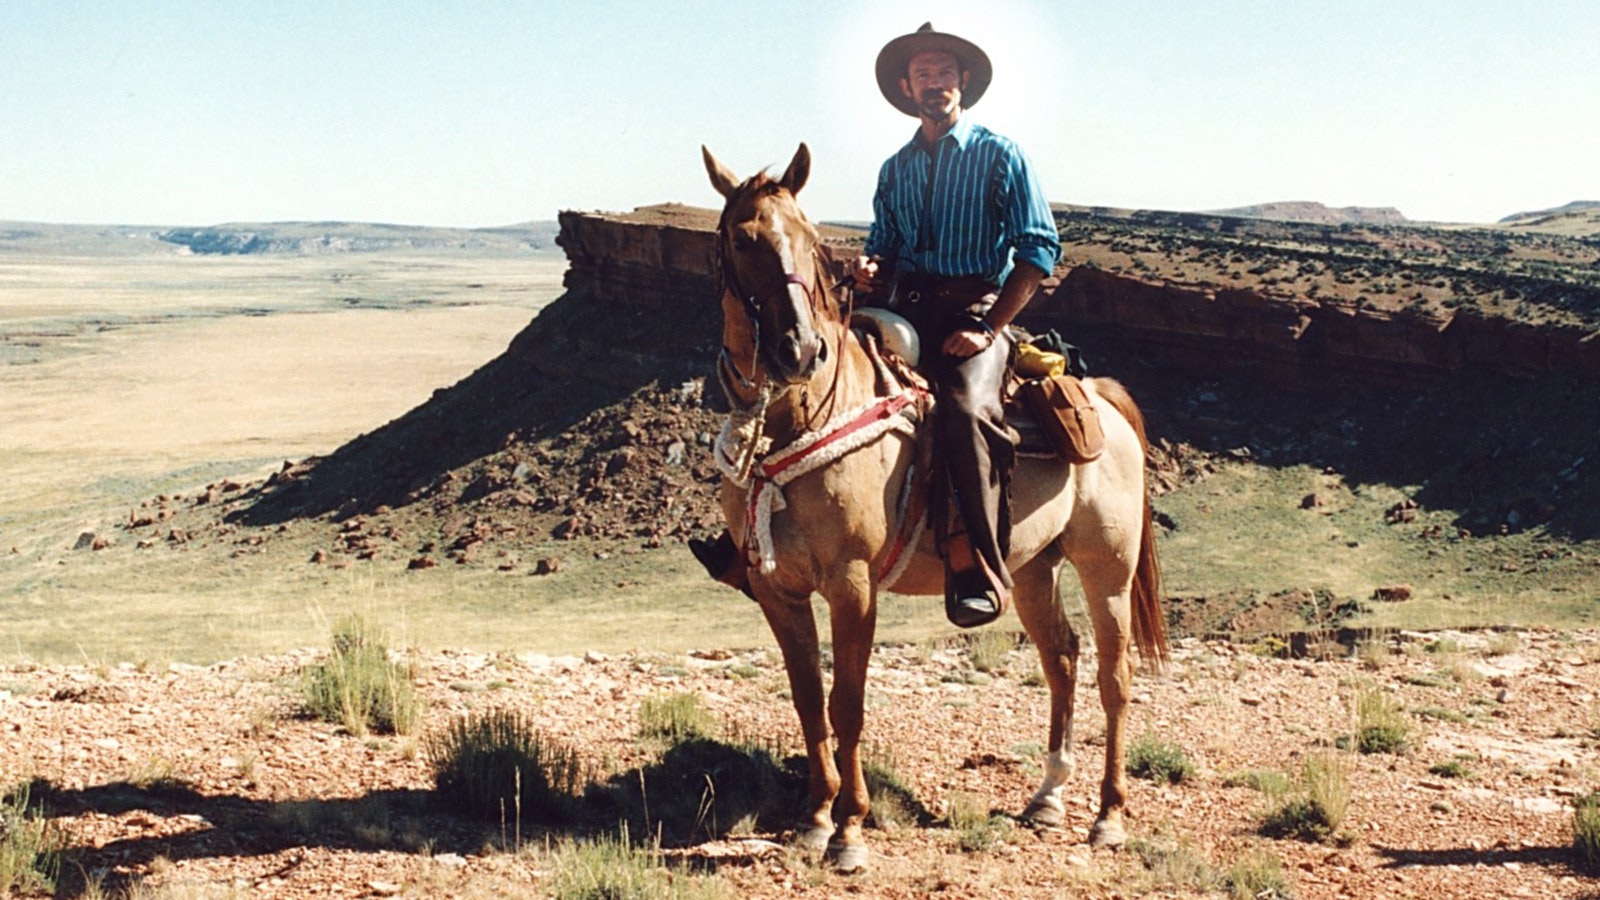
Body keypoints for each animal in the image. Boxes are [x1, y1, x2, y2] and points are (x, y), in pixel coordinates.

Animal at [697, 141, 1164, 871]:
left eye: (810, 241)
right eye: (742, 241)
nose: (800, 349)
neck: (803, 415)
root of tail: (1104, 399)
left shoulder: (853, 582)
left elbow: (848, 702)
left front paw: (849, 829)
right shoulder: (779, 590)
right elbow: (808, 702)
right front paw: (814, 818)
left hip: (1106, 566)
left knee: (1114, 676)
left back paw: (1108, 816)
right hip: (1032, 567)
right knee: (1061, 657)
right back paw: (1046, 799)